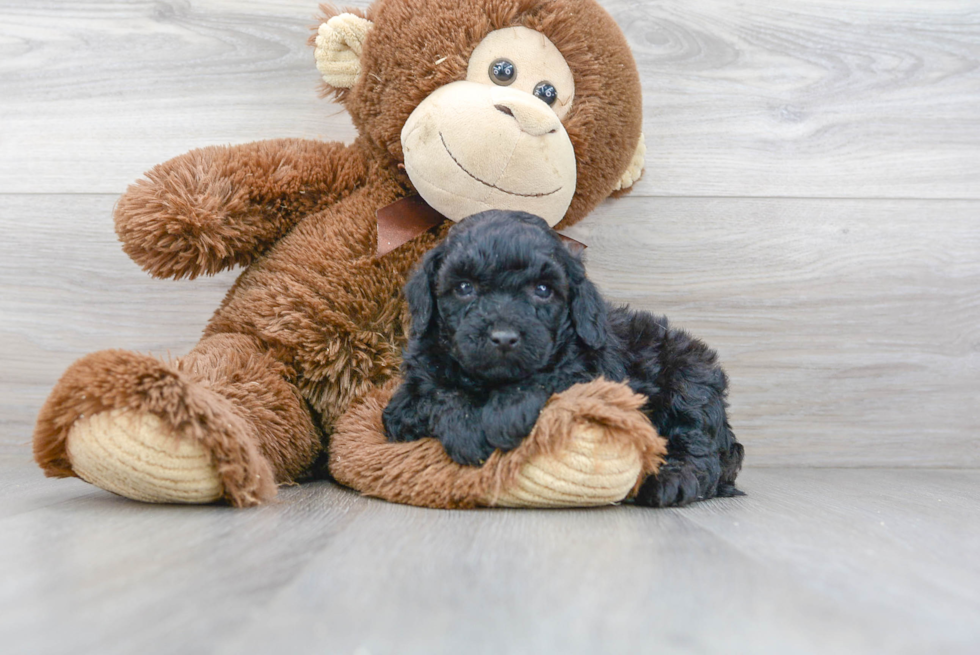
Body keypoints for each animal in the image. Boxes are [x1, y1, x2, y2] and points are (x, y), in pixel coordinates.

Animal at [382, 210, 744, 508]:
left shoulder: (590, 369)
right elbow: (433, 391)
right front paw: (465, 429)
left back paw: (671, 480)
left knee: (698, 445)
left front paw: (503, 417)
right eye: (464, 287)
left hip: (688, 377)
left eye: (543, 290)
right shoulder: (412, 387)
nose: (503, 337)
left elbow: (547, 377)